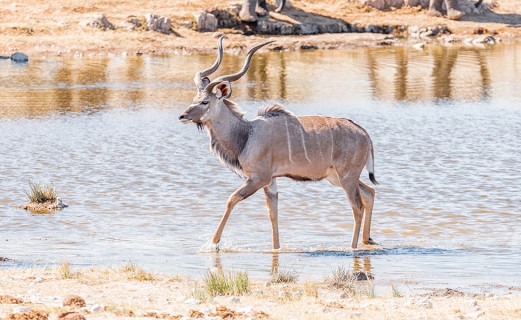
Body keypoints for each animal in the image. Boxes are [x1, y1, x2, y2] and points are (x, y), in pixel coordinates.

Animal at [179, 37, 378, 250]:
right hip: (337, 177)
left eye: (205, 102)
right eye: (194, 99)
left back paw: (353, 247)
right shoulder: (270, 181)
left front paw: (214, 243)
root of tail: (365, 134)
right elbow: (272, 214)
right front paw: (276, 249)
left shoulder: (259, 178)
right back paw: (367, 239)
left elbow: (231, 199)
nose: (182, 116)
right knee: (369, 193)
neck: (246, 134)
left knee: (357, 206)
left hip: (346, 177)